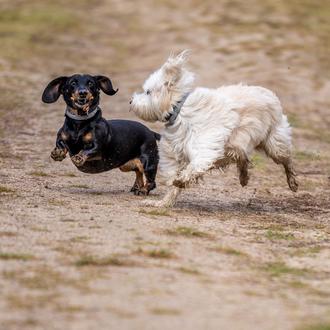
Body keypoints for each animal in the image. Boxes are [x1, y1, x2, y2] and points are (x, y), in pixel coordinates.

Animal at [130, 50, 300, 208]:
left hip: (275, 145)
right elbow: (174, 182)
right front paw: (163, 202)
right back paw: (244, 177)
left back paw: (292, 182)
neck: (179, 109)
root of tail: (270, 94)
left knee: (287, 160)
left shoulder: (204, 147)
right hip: (235, 146)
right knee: (243, 157)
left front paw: (181, 180)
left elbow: (192, 168)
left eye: (148, 92)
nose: (131, 101)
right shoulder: (178, 153)